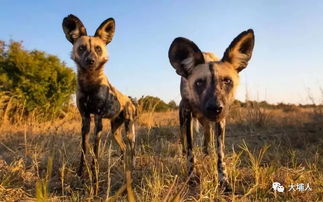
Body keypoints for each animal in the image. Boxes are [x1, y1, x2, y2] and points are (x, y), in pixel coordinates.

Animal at [62, 14, 137, 200]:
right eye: (82, 48)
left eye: (98, 49)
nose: (91, 61)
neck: (90, 83)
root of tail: (130, 100)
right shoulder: (85, 120)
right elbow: (83, 152)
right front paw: (80, 176)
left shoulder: (97, 121)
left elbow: (94, 158)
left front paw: (94, 187)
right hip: (115, 131)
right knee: (123, 148)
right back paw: (123, 165)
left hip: (129, 131)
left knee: (132, 149)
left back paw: (132, 170)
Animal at [167, 29, 256, 192]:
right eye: (199, 83)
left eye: (227, 81)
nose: (215, 108)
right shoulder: (187, 114)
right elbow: (190, 151)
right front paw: (192, 177)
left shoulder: (221, 120)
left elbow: (220, 154)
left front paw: (223, 180)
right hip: (184, 122)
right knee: (184, 141)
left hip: (206, 122)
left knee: (207, 137)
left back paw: (207, 155)